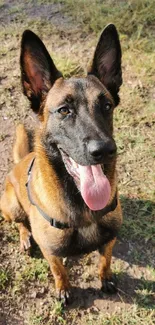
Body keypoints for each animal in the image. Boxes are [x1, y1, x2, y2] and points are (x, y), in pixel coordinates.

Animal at [0, 24, 123, 302]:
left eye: (107, 105)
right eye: (64, 110)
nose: (104, 150)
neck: (84, 209)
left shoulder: (109, 239)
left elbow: (105, 261)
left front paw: (106, 278)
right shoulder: (51, 251)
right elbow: (58, 270)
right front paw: (63, 288)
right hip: (10, 206)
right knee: (19, 222)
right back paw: (25, 237)